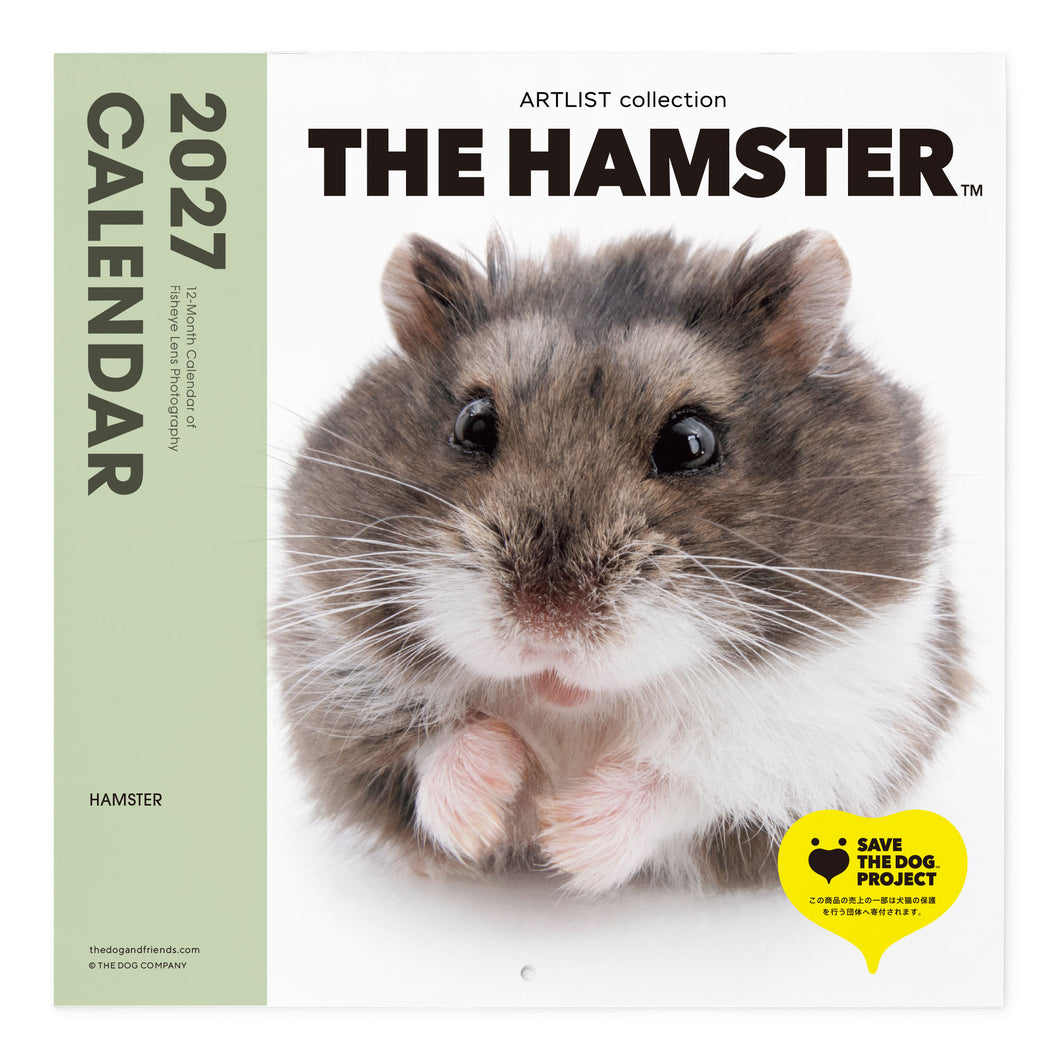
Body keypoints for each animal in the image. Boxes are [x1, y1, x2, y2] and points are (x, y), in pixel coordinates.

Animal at [273, 229, 970, 895]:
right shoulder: (328, 676)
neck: (574, 708)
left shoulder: (835, 723)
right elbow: (430, 746)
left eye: (692, 442)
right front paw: (491, 805)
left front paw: (563, 836)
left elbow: (685, 783)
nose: (547, 625)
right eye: (473, 423)